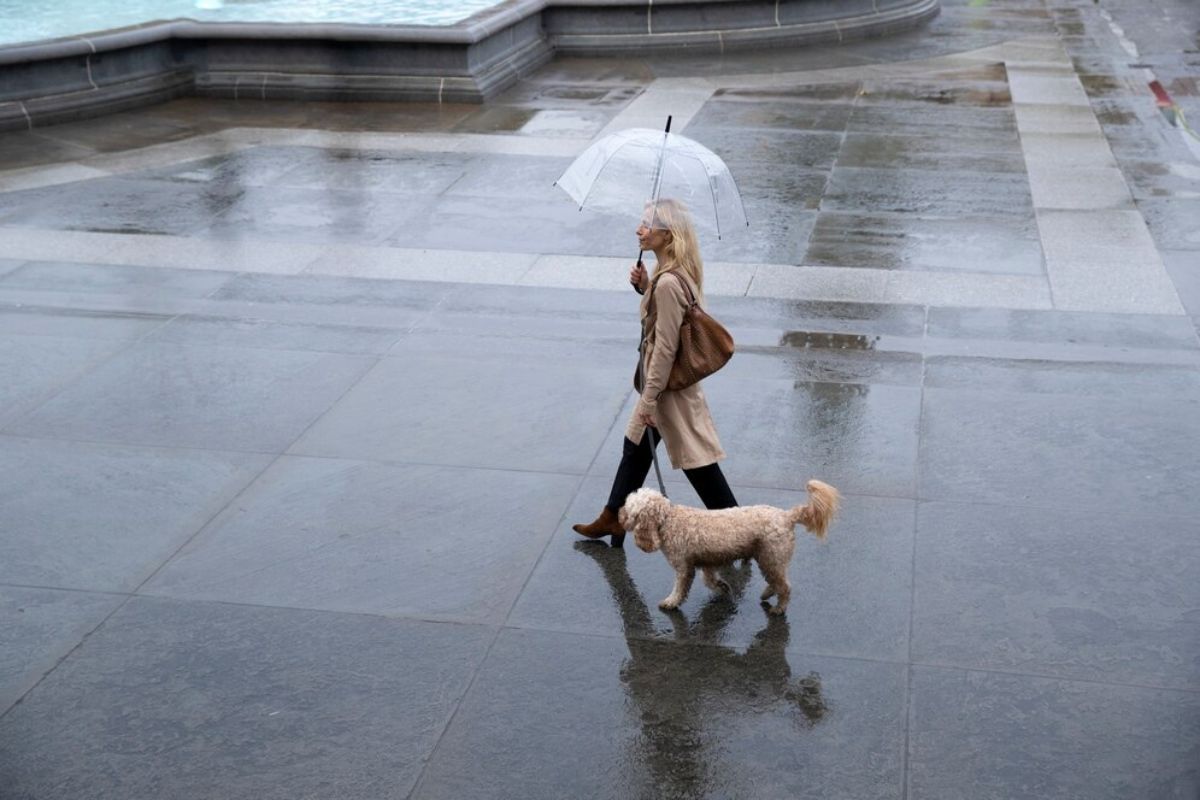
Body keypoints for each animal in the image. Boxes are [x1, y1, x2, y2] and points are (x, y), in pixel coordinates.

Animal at [624, 479, 840, 618]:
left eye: (629, 510)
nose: (620, 516)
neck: (668, 519)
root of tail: (787, 516)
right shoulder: (707, 561)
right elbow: (709, 580)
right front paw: (722, 587)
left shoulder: (683, 567)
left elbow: (680, 588)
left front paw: (670, 602)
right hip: (769, 558)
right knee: (777, 582)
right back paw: (767, 594)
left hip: (771, 557)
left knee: (785, 586)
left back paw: (779, 608)